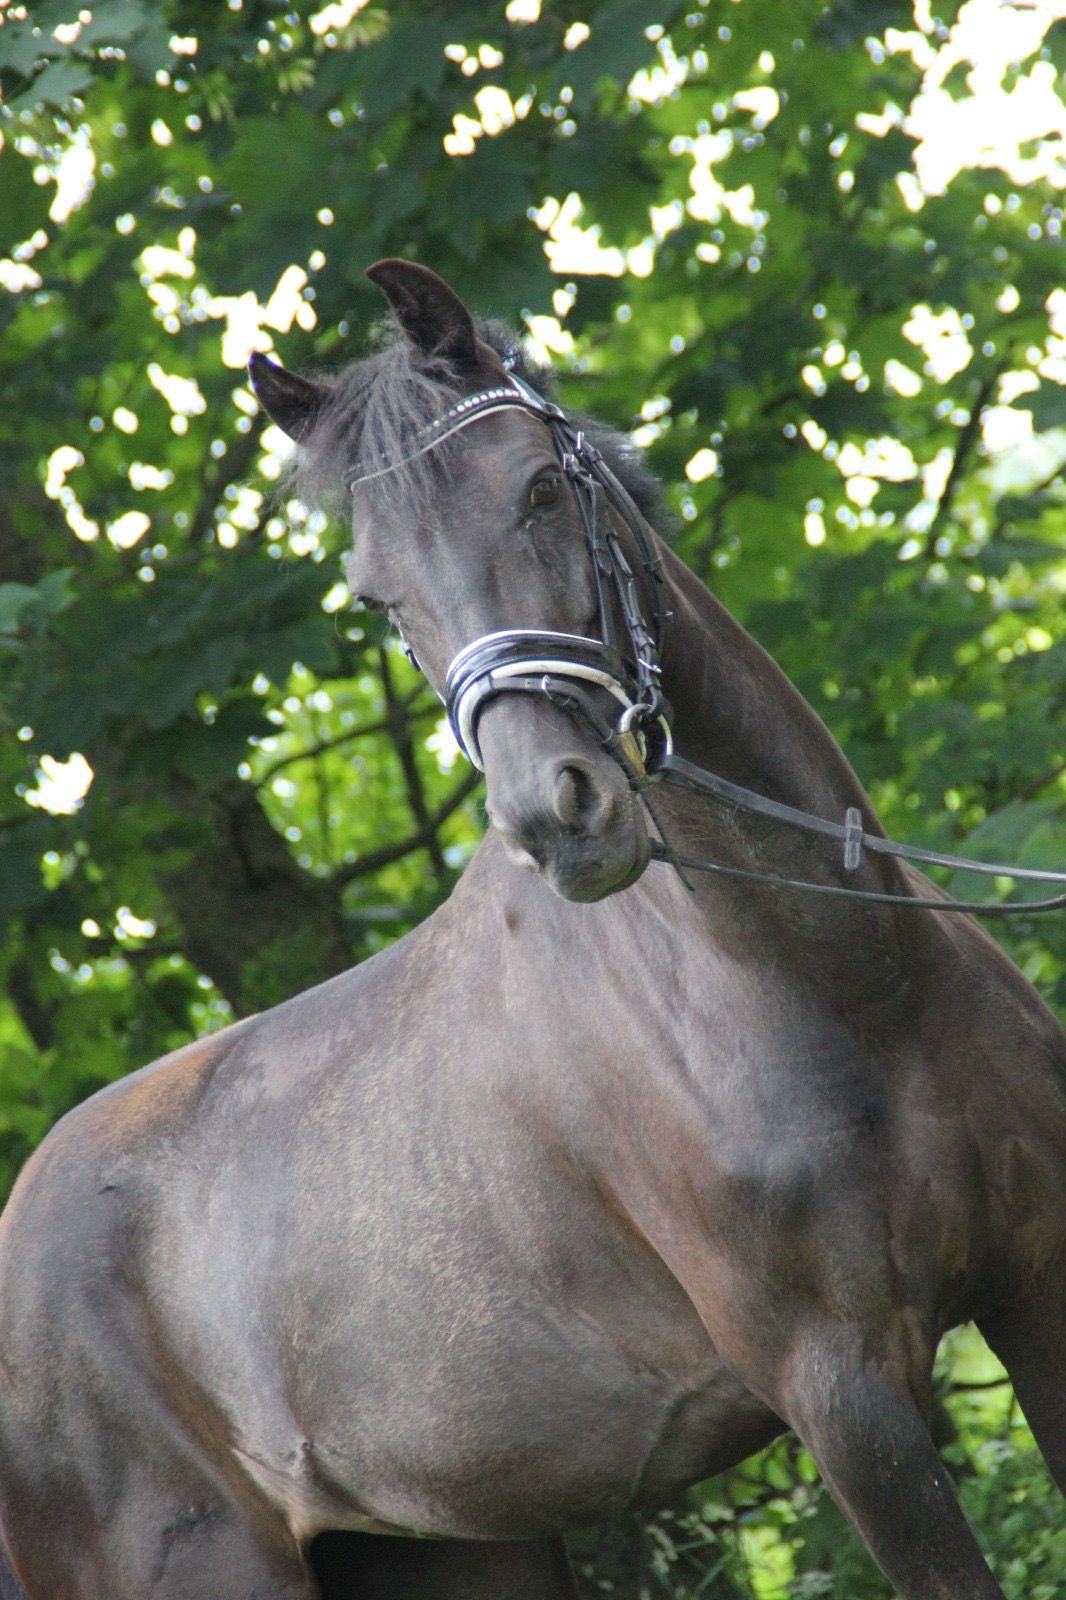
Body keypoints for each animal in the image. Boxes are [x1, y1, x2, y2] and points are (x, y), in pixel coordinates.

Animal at [1, 258, 1064, 1600]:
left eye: (541, 488)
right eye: (378, 594)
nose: (557, 815)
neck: (838, 976)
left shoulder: (1041, 1282)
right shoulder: (845, 1393)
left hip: (456, 1551)